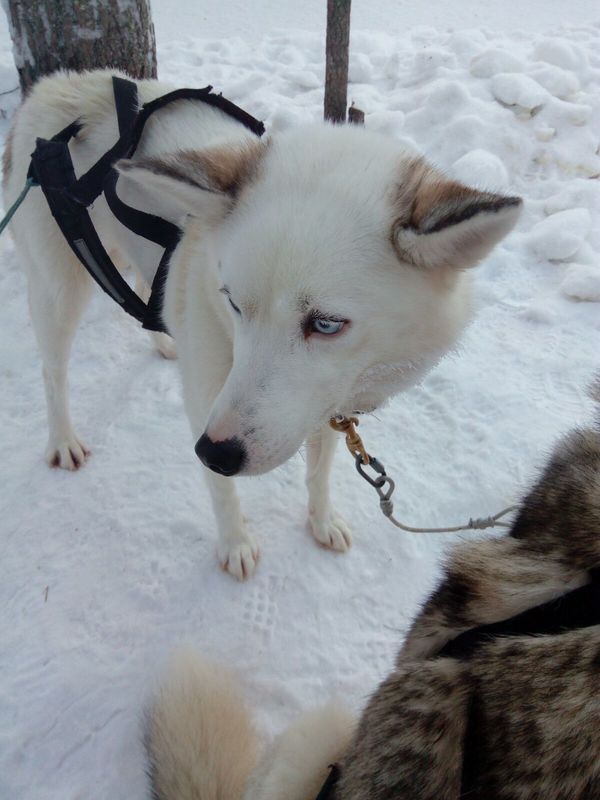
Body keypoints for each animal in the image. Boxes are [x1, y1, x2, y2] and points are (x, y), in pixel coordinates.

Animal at [3, 68, 521, 579]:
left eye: (326, 324)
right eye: (233, 302)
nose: (215, 452)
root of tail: (57, 83)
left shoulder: (321, 406)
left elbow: (319, 471)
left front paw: (321, 520)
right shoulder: (208, 399)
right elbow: (222, 490)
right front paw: (235, 543)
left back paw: (162, 336)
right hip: (59, 292)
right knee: (53, 371)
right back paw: (63, 439)